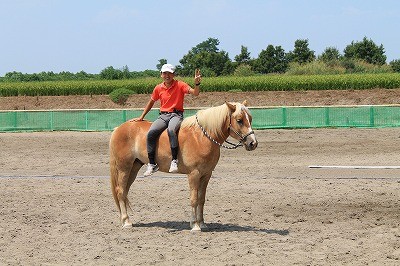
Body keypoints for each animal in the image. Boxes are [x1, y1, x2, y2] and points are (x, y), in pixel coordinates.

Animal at [109, 100, 260, 231]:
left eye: (250, 119)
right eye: (239, 120)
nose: (253, 143)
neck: (201, 137)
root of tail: (119, 128)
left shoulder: (206, 175)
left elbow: (201, 199)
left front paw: (202, 223)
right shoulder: (194, 174)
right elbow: (194, 199)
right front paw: (195, 225)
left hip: (134, 167)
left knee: (124, 191)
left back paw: (125, 219)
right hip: (124, 168)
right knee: (120, 191)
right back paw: (126, 221)